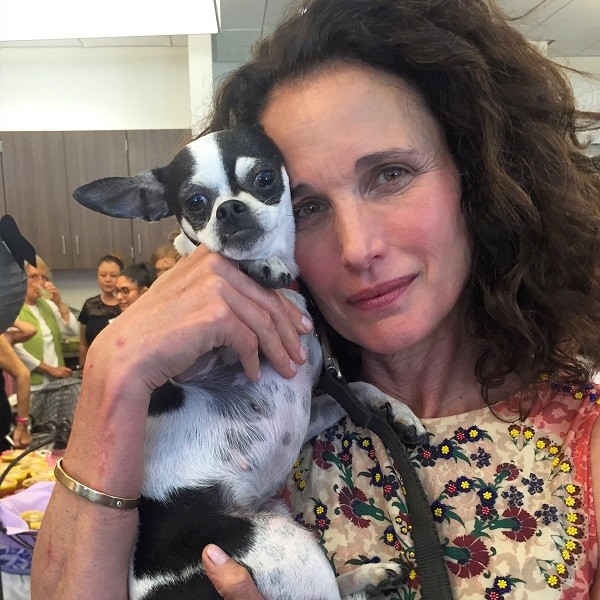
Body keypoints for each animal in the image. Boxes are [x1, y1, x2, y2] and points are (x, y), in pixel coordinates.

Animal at [72, 126, 426, 600]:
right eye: (195, 202)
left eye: (264, 179)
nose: (229, 209)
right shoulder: (188, 358)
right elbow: (223, 268)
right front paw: (257, 264)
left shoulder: (309, 409)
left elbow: (353, 389)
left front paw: (396, 409)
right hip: (281, 541)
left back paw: (368, 576)